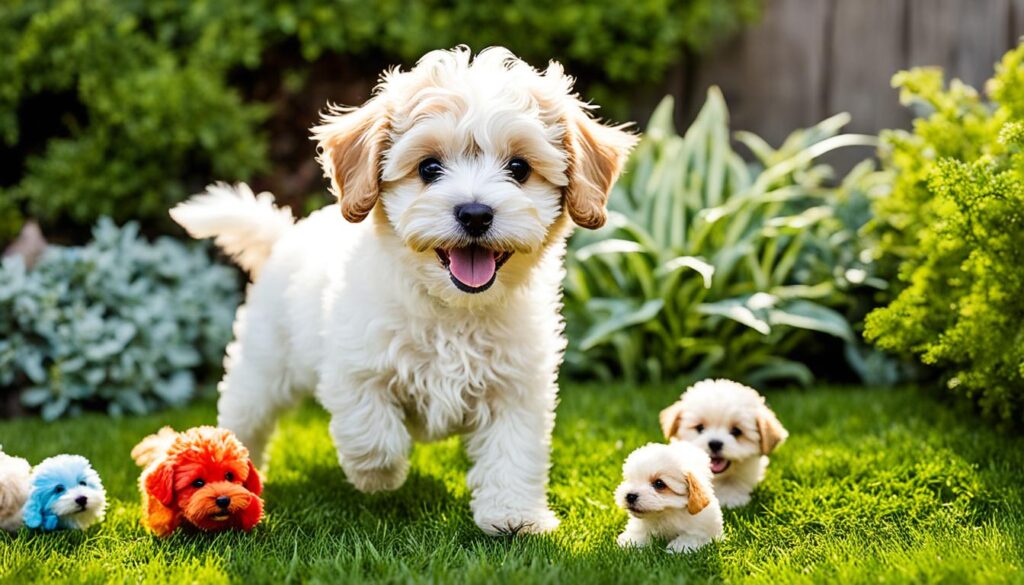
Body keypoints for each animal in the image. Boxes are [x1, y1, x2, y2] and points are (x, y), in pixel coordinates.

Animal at [169, 45, 630, 536]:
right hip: (263, 363)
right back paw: (235, 470)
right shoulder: (353, 364)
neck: (452, 308)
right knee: (246, 416)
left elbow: (514, 449)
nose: (475, 213)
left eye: (519, 168)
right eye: (429, 168)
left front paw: (513, 515)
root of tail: (285, 236)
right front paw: (377, 477)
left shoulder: (518, 385)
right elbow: (372, 431)